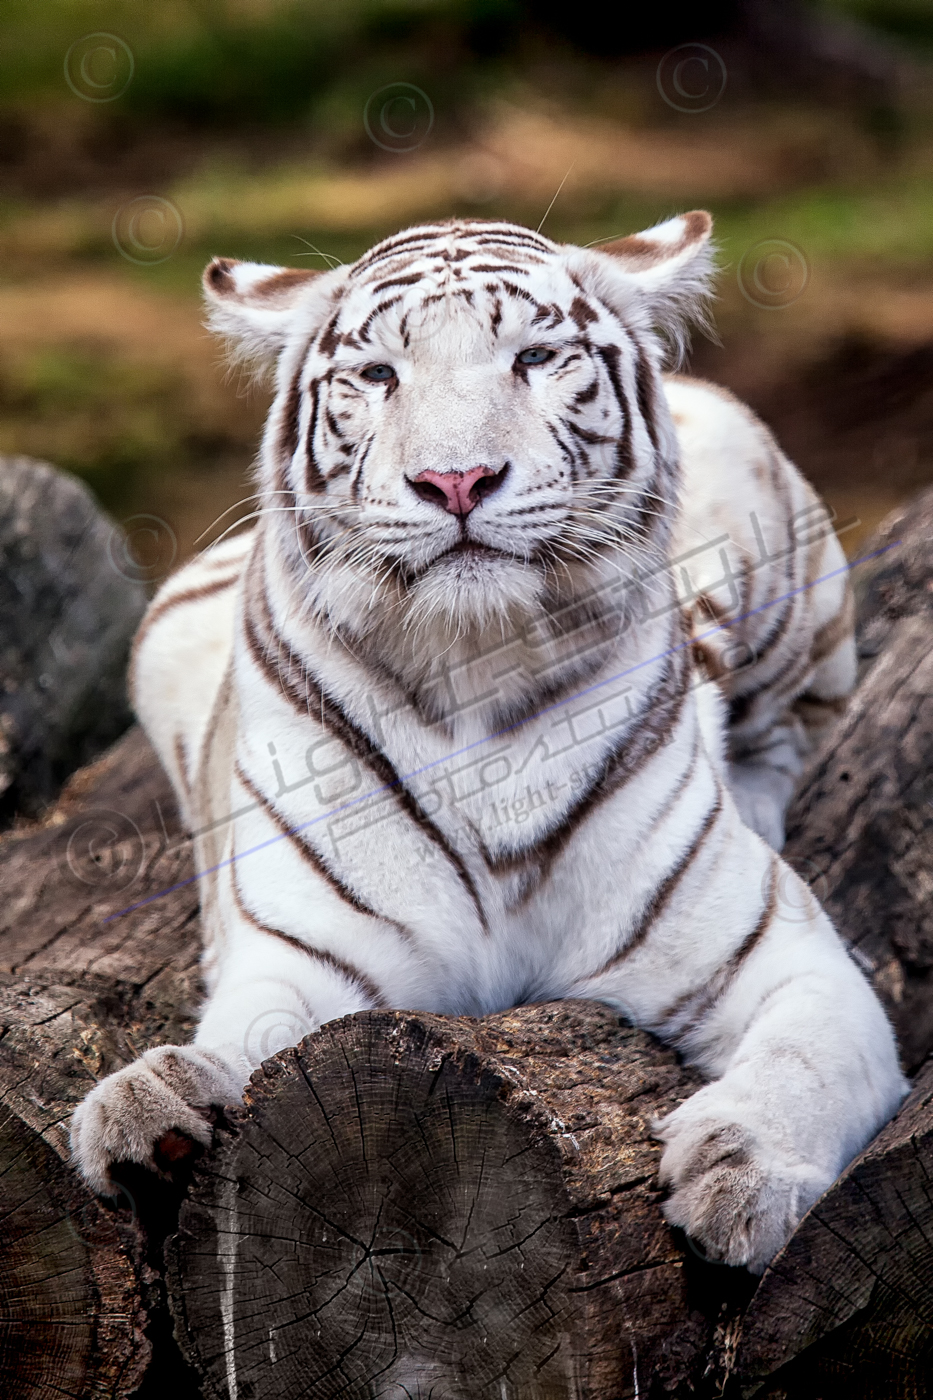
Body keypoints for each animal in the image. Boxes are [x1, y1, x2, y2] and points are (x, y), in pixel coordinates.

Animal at [71, 211, 905, 1274]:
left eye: (535, 358)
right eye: (378, 374)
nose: (455, 480)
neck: (480, 667)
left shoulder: (788, 961)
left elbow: (804, 1061)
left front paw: (740, 1179)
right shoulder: (312, 950)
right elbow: (246, 1028)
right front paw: (153, 1111)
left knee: (796, 722)